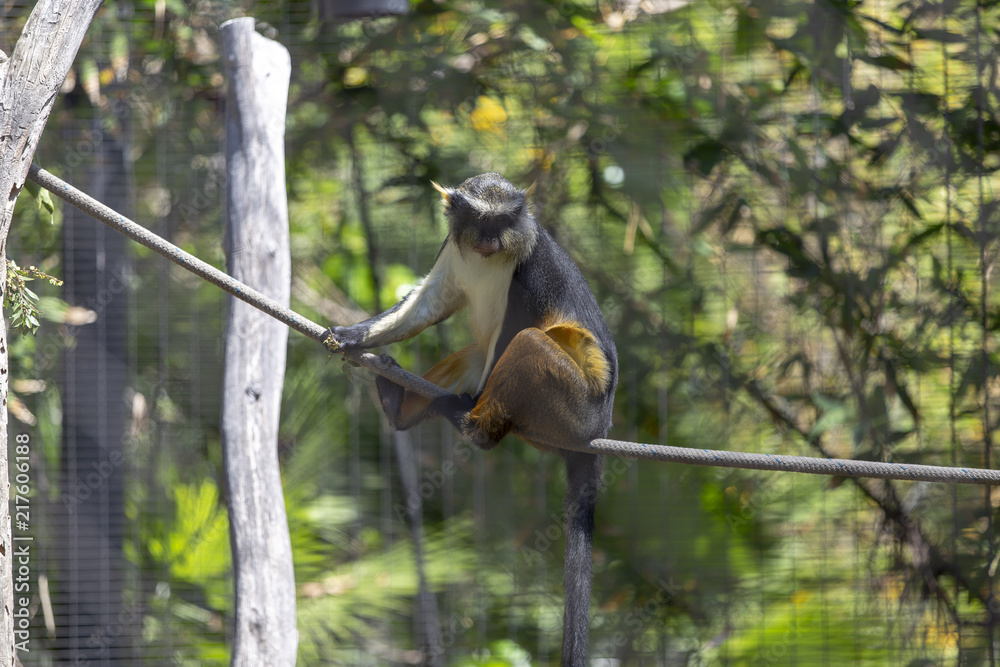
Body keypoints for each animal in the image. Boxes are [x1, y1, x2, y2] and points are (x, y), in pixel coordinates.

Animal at [327, 173, 618, 666]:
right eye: (479, 220)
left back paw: (472, 423)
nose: (490, 239)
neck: (492, 257)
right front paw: (351, 335)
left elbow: (514, 329)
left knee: (527, 344)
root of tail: (600, 430)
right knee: (478, 355)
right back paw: (397, 404)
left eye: (502, 222)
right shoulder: (452, 249)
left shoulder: (528, 270)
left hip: (574, 410)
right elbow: (427, 302)